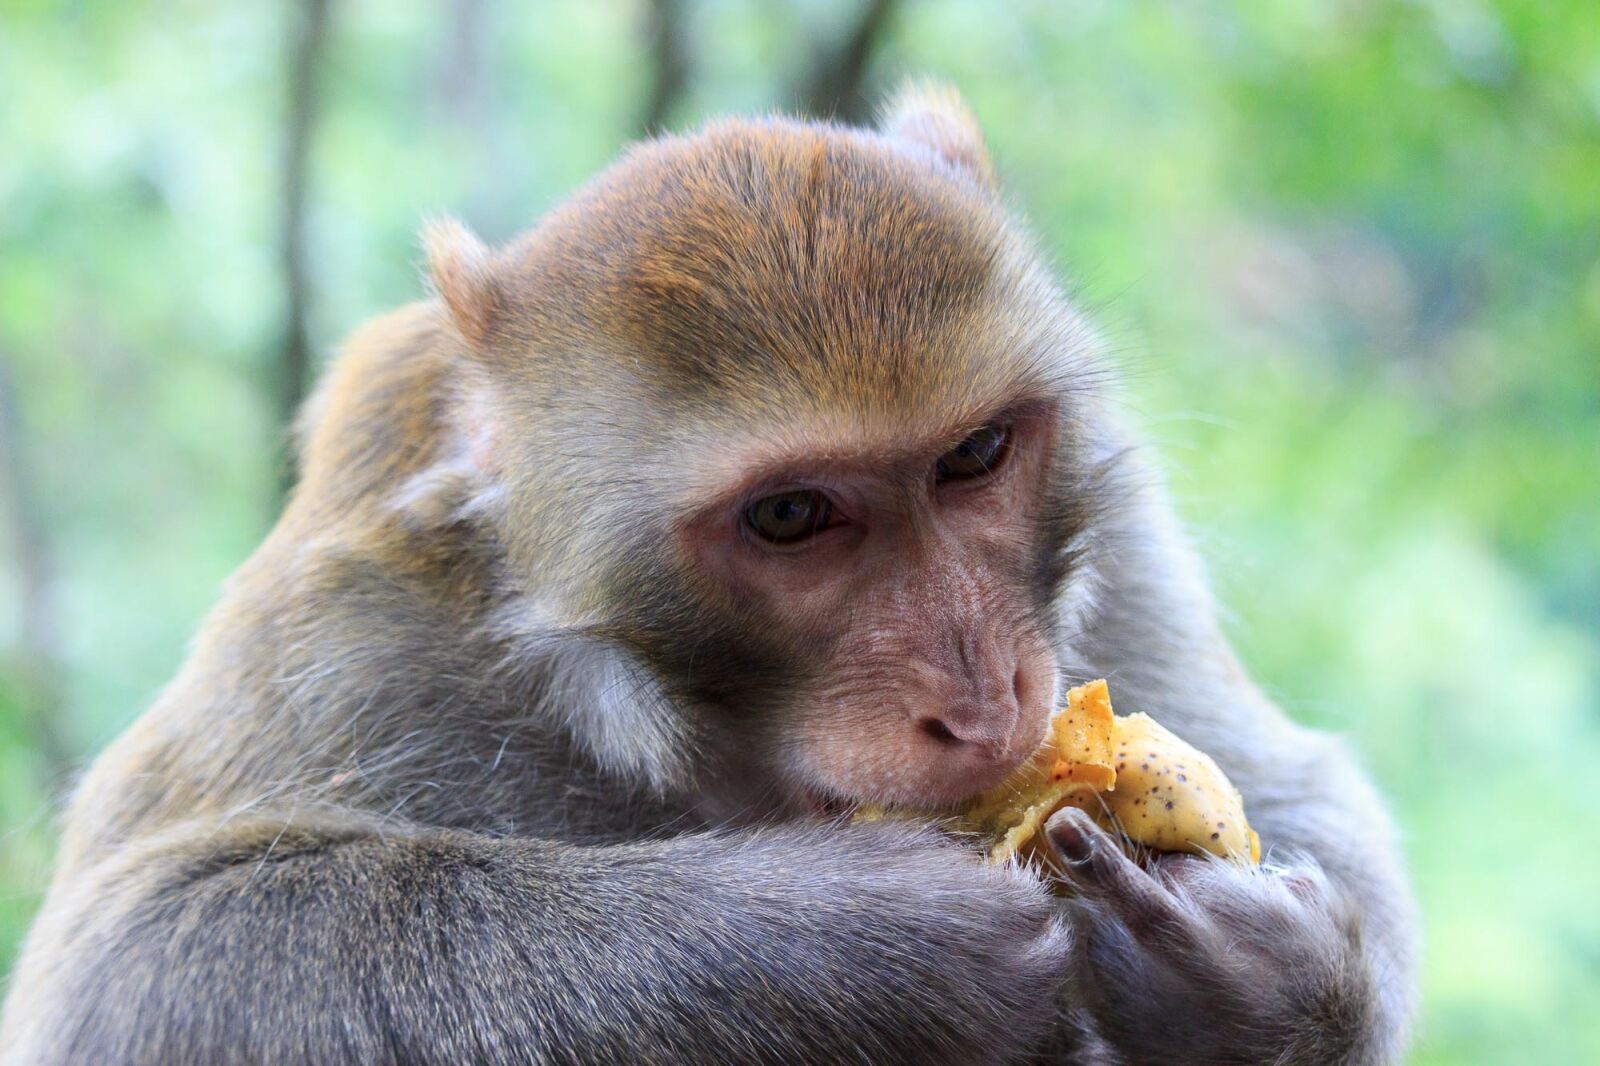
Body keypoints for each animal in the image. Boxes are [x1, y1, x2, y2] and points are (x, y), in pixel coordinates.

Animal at [0, 84, 1417, 1065]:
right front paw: (854, 947)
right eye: (791, 515)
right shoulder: (367, 630)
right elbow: (135, 956)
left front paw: (1263, 975)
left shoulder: (1118, 529)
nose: (984, 703)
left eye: (974, 454)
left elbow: (1290, 780)